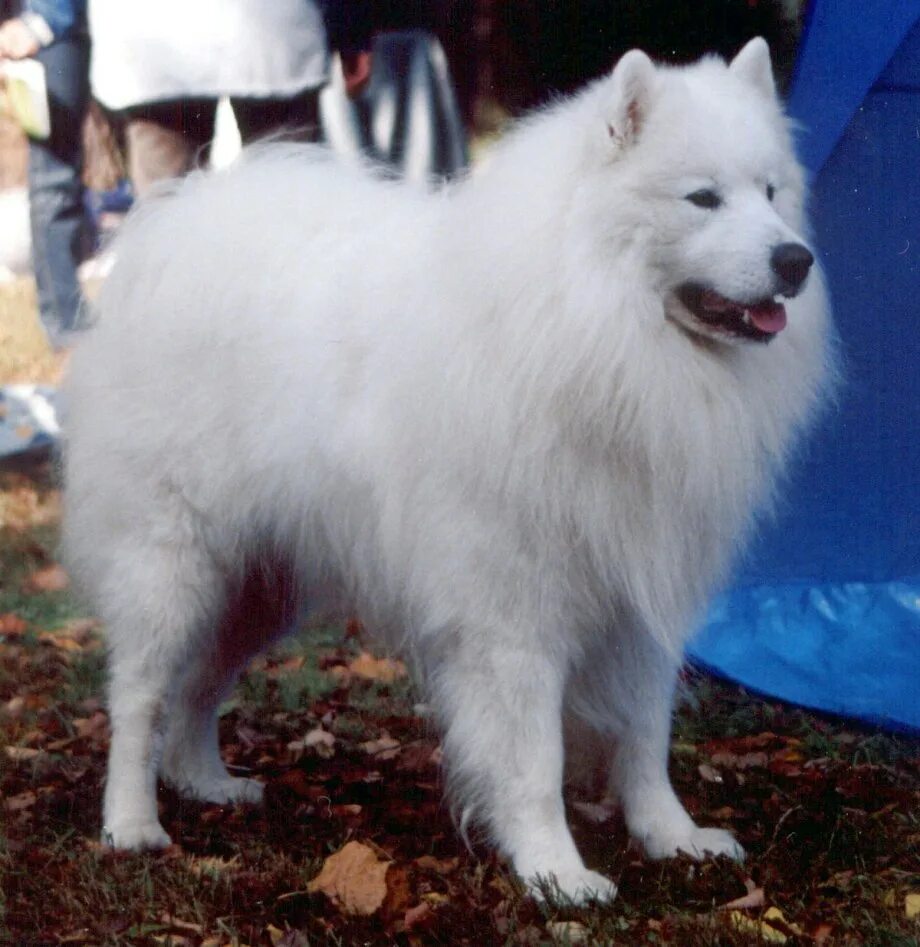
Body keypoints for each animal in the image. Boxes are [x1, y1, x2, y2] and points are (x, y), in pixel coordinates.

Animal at [61, 40, 832, 904]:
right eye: (702, 198)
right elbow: (535, 761)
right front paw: (556, 870)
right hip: (172, 562)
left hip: (259, 581)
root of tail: (181, 220)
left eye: (771, 193)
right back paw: (132, 822)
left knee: (200, 684)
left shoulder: (637, 606)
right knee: (139, 695)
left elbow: (644, 737)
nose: (794, 260)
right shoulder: (514, 617)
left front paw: (673, 837)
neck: (596, 328)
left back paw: (205, 781)